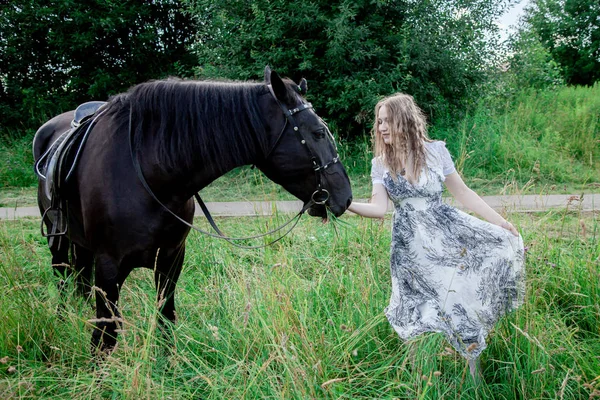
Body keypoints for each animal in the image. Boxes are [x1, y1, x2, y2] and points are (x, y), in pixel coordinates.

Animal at [31, 67, 352, 352]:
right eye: (318, 132)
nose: (346, 197)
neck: (146, 175)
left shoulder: (171, 259)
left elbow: (165, 319)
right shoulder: (109, 267)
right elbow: (105, 337)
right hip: (58, 240)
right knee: (63, 279)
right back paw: (63, 320)